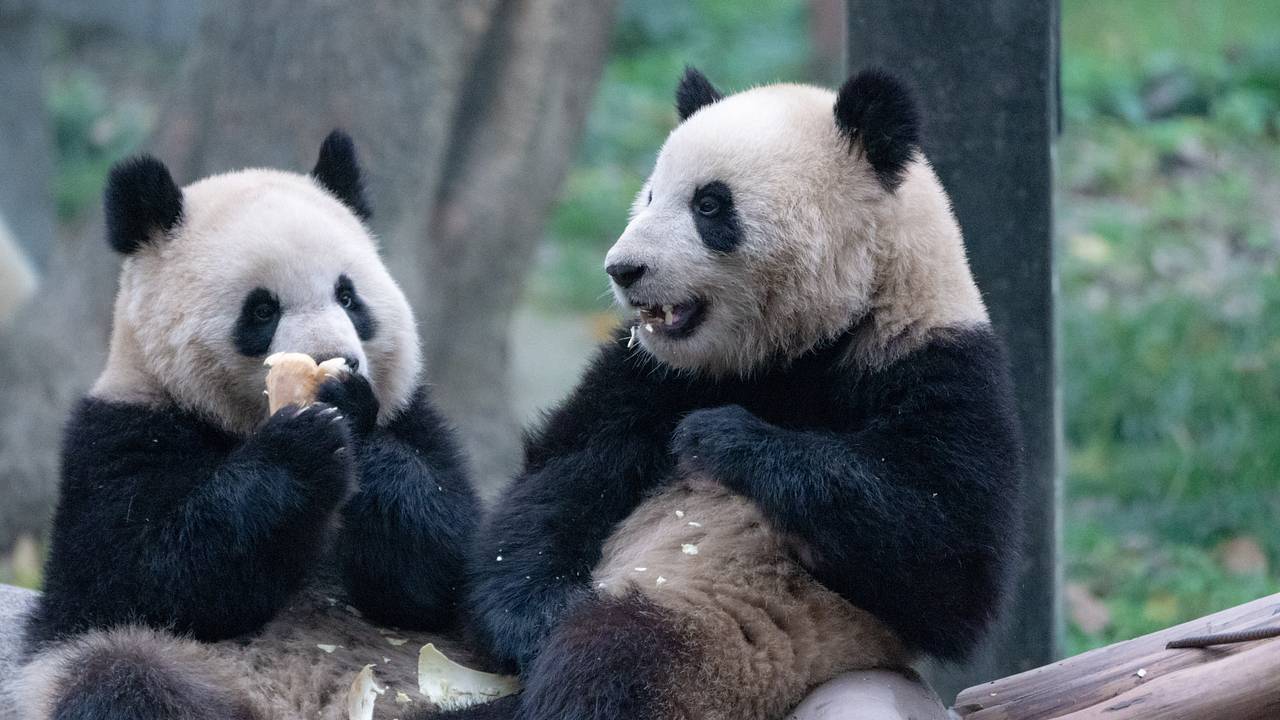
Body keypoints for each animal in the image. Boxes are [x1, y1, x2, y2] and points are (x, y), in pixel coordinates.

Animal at [6, 130, 481, 717]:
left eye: (348, 297)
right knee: (124, 678)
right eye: (262, 310)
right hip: (179, 667)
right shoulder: (120, 432)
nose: (337, 359)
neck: (241, 423)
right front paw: (302, 450)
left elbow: (443, 565)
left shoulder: (416, 416)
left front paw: (347, 409)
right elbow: (137, 574)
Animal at [445, 67, 1024, 717]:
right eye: (651, 195)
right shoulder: (649, 373)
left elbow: (948, 563)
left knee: (613, 662)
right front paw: (534, 618)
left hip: (722, 642)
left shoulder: (936, 365)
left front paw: (719, 436)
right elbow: (562, 475)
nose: (624, 269)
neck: (801, 348)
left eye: (709, 204)